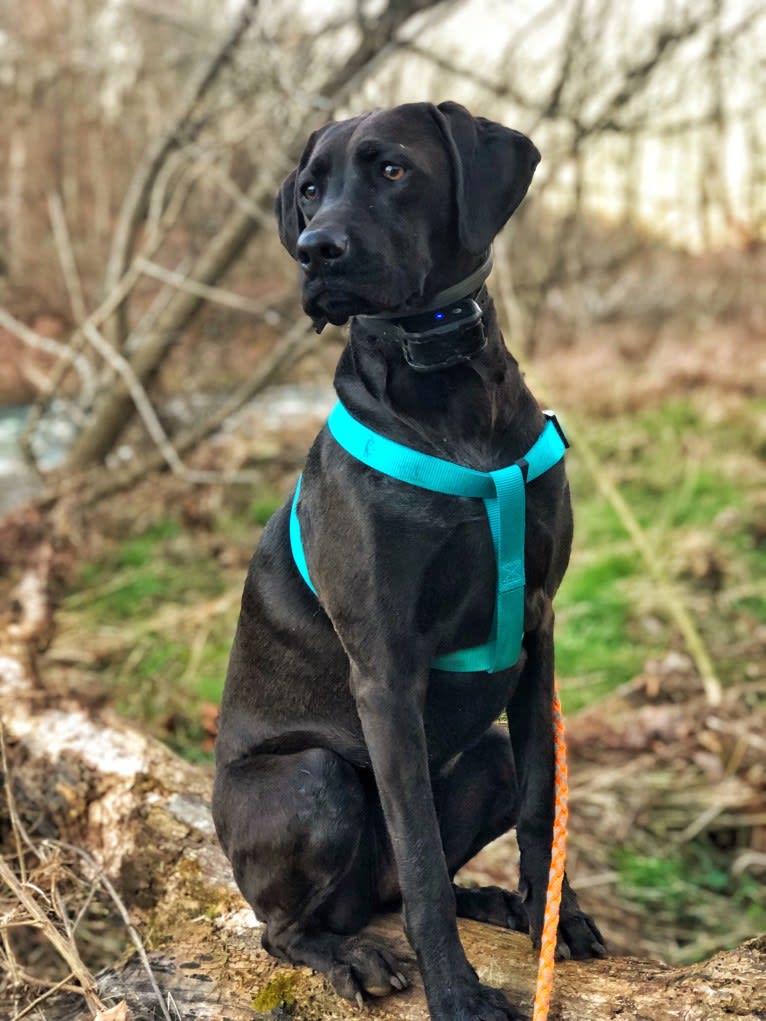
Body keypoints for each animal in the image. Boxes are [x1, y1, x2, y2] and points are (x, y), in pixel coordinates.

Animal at [211, 97, 604, 1021]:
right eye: (310, 189)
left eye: (392, 169)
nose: (315, 248)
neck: (447, 388)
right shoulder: (386, 667)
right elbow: (421, 854)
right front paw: (457, 992)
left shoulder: (539, 628)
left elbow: (542, 805)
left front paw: (552, 915)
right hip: (311, 778)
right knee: (295, 924)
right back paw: (349, 955)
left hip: (484, 754)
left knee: (403, 878)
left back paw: (492, 901)